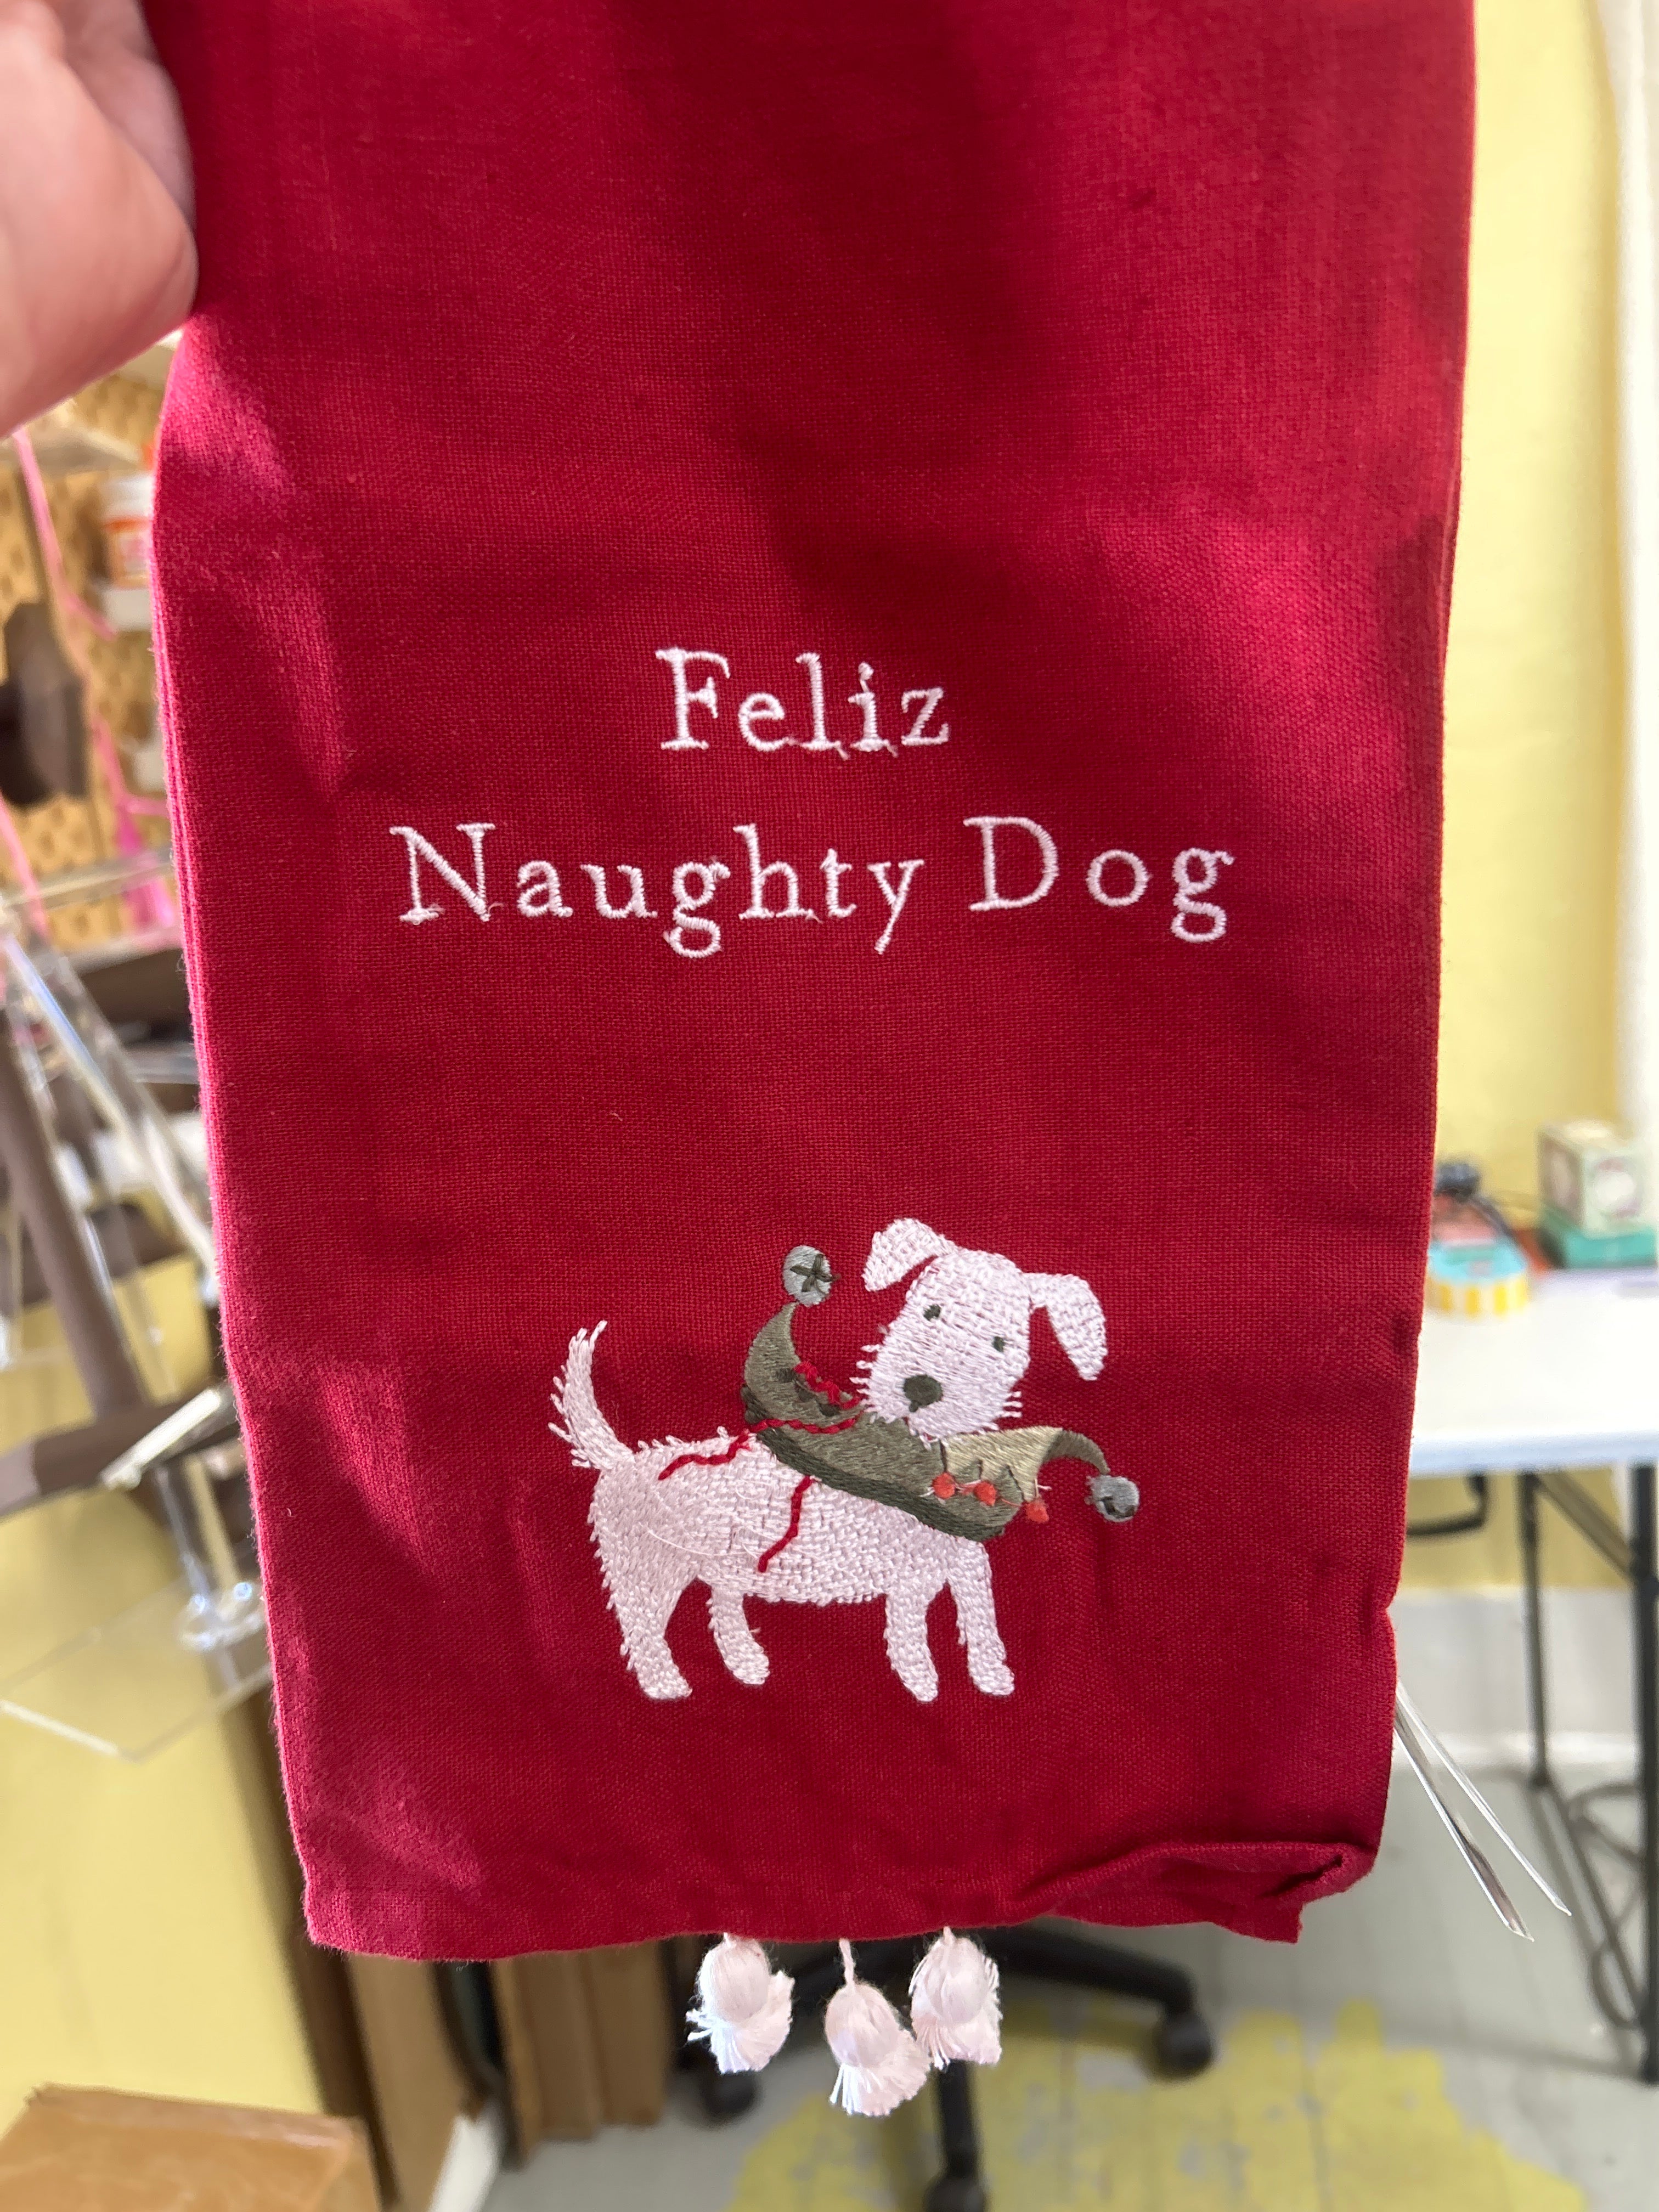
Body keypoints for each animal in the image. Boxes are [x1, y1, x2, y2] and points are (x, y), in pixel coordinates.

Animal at [551, 1217, 1107, 1703]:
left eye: (1000, 1343)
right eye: (928, 1312)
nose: (922, 1387)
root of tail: (622, 1462)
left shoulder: (963, 1563)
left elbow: (981, 1616)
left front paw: (991, 1675)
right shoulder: (911, 1578)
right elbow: (911, 1631)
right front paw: (923, 1684)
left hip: (719, 1562)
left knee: (722, 1604)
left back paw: (747, 1663)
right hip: (650, 1566)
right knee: (644, 1627)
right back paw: (665, 1684)